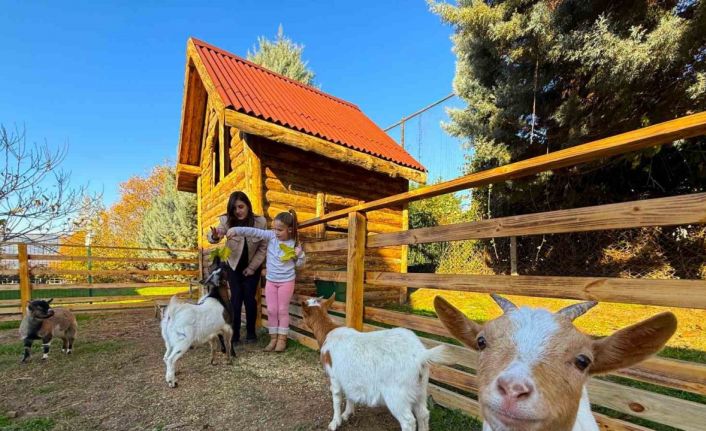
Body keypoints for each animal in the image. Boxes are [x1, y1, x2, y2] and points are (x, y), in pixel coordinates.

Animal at [301, 295, 452, 431]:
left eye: (302, 315)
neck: (328, 332)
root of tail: (421, 355)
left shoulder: (334, 376)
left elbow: (337, 398)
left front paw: (335, 422)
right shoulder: (348, 376)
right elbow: (349, 394)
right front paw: (347, 414)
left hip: (397, 394)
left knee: (408, 421)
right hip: (421, 388)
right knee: (423, 414)